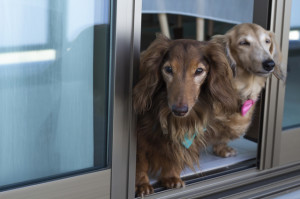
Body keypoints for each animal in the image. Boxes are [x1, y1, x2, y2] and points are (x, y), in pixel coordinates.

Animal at [132, 33, 238, 196]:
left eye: (199, 71)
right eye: (168, 69)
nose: (179, 110)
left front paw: (171, 176)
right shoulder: (138, 139)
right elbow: (139, 162)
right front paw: (141, 184)